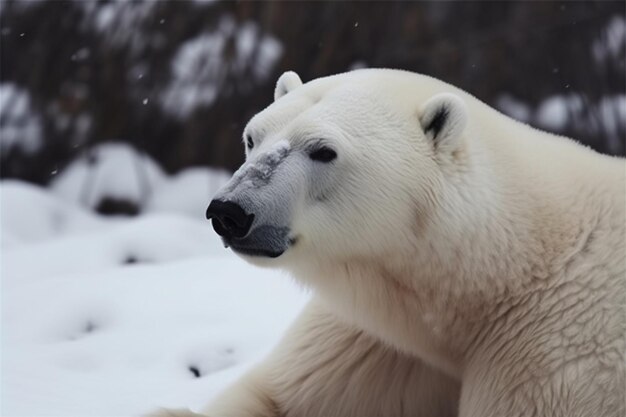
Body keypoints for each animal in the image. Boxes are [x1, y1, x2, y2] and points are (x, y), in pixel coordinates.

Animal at [150, 69, 620, 416]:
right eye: (252, 137)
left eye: (323, 151)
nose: (230, 212)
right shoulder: (372, 336)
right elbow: (279, 396)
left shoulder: (557, 358)